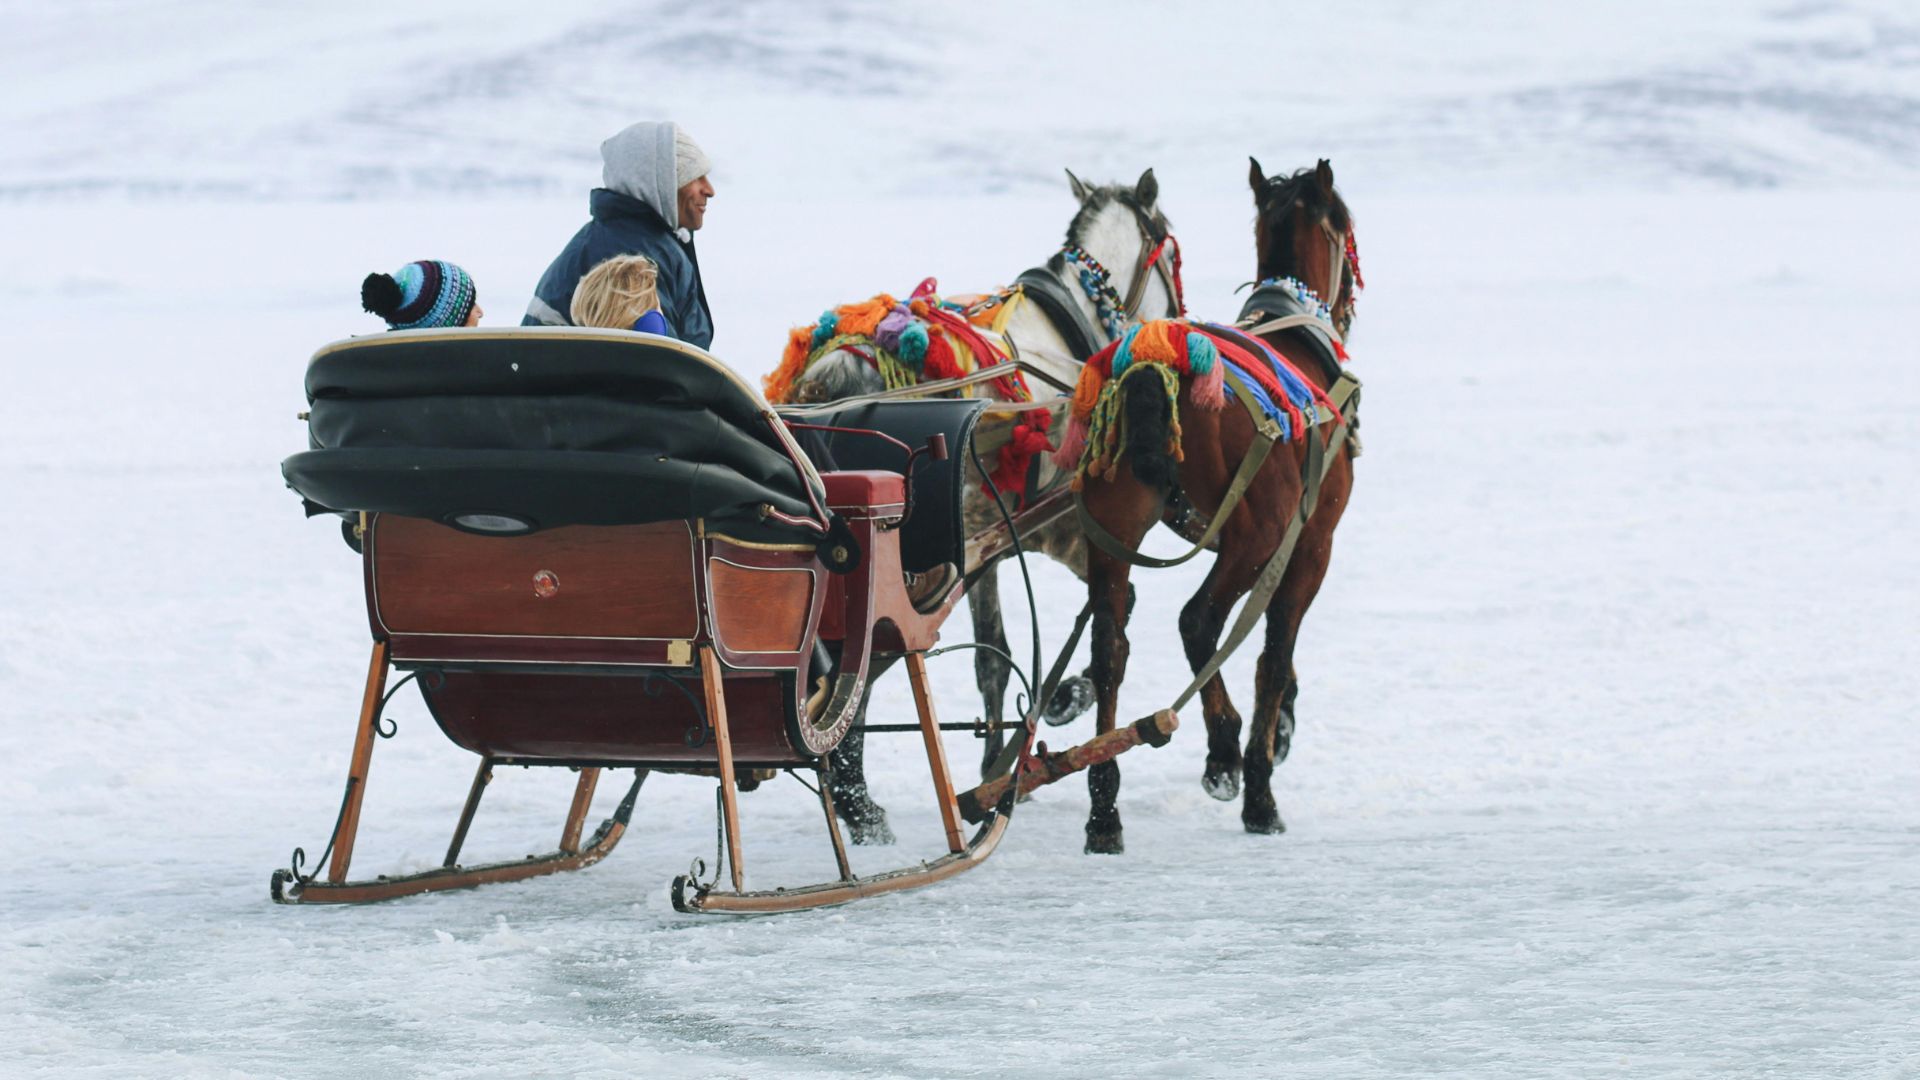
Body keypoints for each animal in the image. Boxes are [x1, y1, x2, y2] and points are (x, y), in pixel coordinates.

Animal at [768, 169, 1185, 845]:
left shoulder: (986, 545)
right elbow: (1110, 614)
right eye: (1172, 253)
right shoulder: (1054, 530)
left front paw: (1004, 755)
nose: (1179, 319)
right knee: (863, 659)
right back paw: (858, 802)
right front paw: (1058, 705)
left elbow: (993, 656)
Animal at [1068, 158, 1361, 853]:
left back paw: (1104, 807)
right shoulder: (1310, 543)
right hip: (1255, 535)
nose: (1345, 314)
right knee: (1198, 621)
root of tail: (1155, 363)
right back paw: (1230, 759)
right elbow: (1273, 654)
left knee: (1110, 647)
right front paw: (1260, 761)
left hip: (1113, 533)